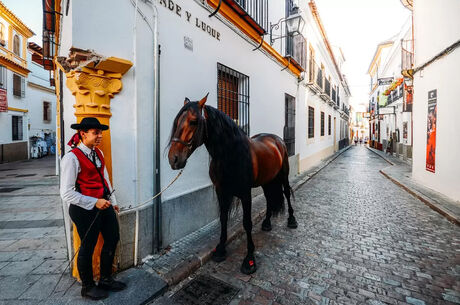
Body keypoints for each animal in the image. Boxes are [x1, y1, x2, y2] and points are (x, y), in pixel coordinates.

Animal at [167, 92, 296, 274]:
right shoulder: (221, 191)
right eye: (177, 121)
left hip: (283, 175)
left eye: (193, 121)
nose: (174, 159)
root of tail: (277, 139)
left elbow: (247, 223)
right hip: (267, 180)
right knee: (269, 198)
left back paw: (292, 220)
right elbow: (223, 219)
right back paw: (267, 223)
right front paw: (220, 249)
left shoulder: (245, 194)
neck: (230, 154)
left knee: (286, 193)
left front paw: (249, 260)